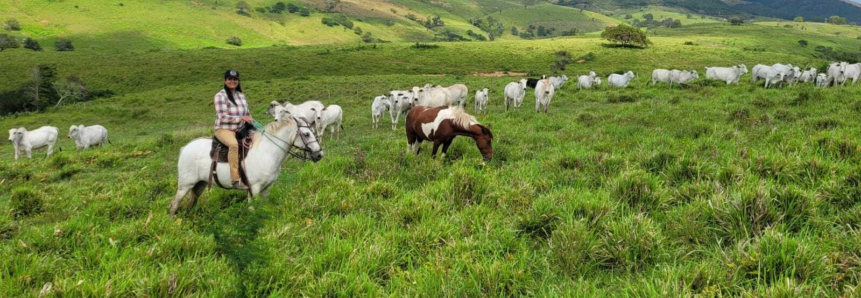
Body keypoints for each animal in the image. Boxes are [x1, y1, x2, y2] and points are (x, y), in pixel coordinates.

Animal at [170, 112, 324, 217]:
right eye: (306, 134)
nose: (319, 154)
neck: (266, 152)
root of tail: (185, 148)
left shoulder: (266, 189)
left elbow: (262, 206)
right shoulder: (253, 188)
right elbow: (252, 210)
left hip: (199, 184)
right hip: (185, 185)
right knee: (174, 205)